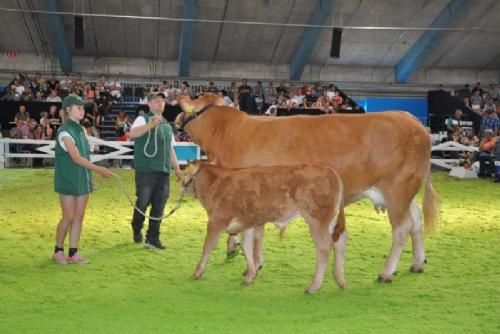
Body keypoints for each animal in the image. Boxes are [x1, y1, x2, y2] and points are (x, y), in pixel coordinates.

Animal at [182, 162, 346, 292]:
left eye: (184, 173)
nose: (181, 186)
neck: (217, 184)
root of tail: (329, 170)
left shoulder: (216, 221)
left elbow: (208, 246)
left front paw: (197, 272)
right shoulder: (247, 224)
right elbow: (247, 248)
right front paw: (250, 276)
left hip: (316, 219)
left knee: (324, 247)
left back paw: (314, 287)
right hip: (330, 220)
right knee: (339, 241)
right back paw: (340, 280)